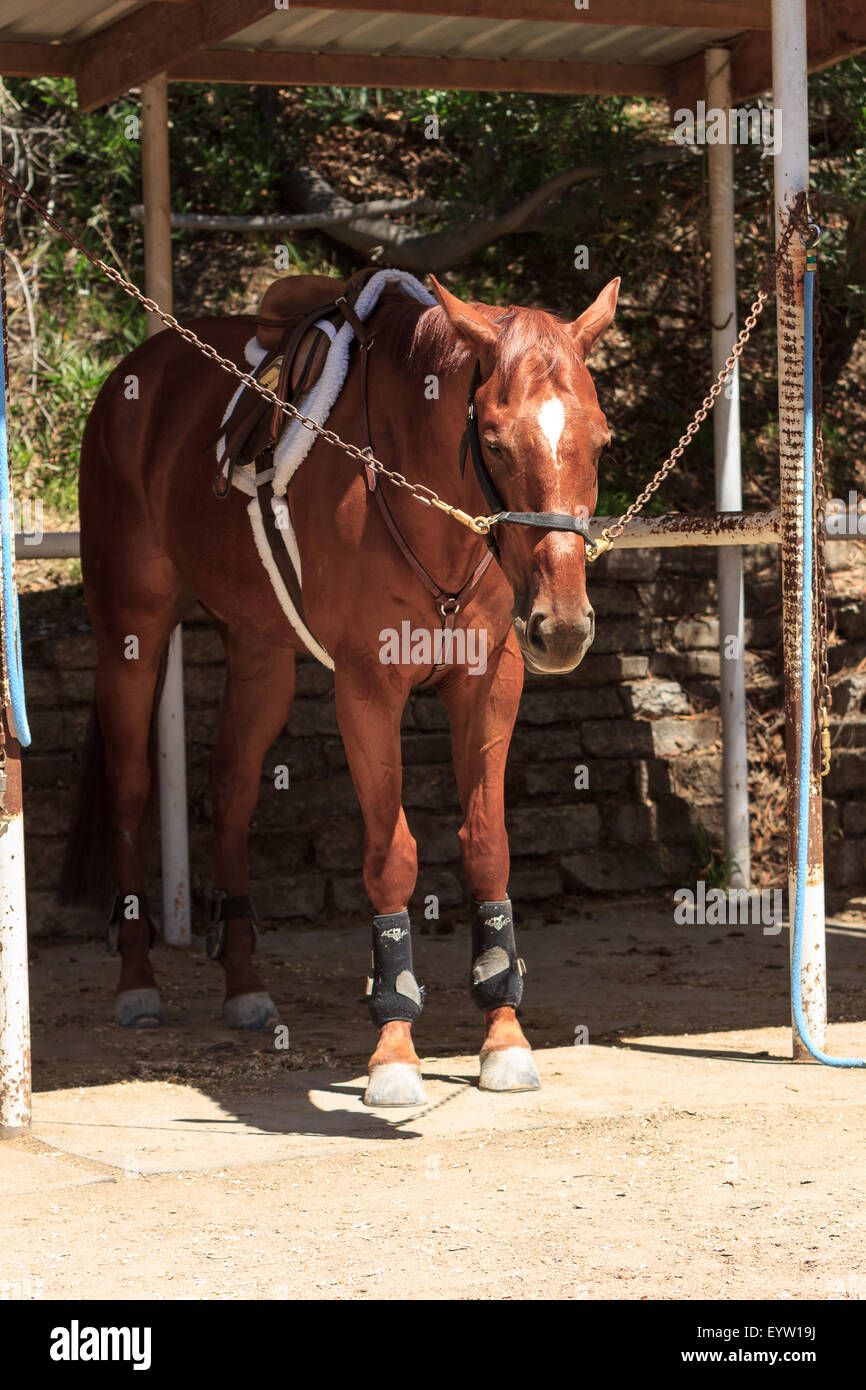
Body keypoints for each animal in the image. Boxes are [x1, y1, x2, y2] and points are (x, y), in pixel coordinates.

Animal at [59, 271, 617, 1106]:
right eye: (492, 438)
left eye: (602, 437)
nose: (563, 625)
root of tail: (138, 373)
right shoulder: (367, 689)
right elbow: (392, 857)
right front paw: (393, 1045)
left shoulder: (491, 681)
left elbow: (488, 846)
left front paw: (503, 1034)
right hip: (132, 636)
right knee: (130, 794)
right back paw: (137, 981)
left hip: (260, 653)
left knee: (232, 790)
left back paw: (244, 985)